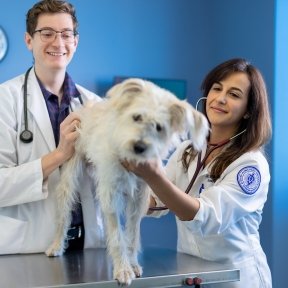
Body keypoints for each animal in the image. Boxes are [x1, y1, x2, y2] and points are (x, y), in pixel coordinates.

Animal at [45, 78, 209, 286]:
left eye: (159, 127)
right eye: (136, 117)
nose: (139, 147)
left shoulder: (138, 197)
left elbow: (131, 233)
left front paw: (131, 263)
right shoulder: (111, 193)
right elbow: (117, 235)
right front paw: (123, 268)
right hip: (71, 177)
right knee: (64, 213)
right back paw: (57, 245)